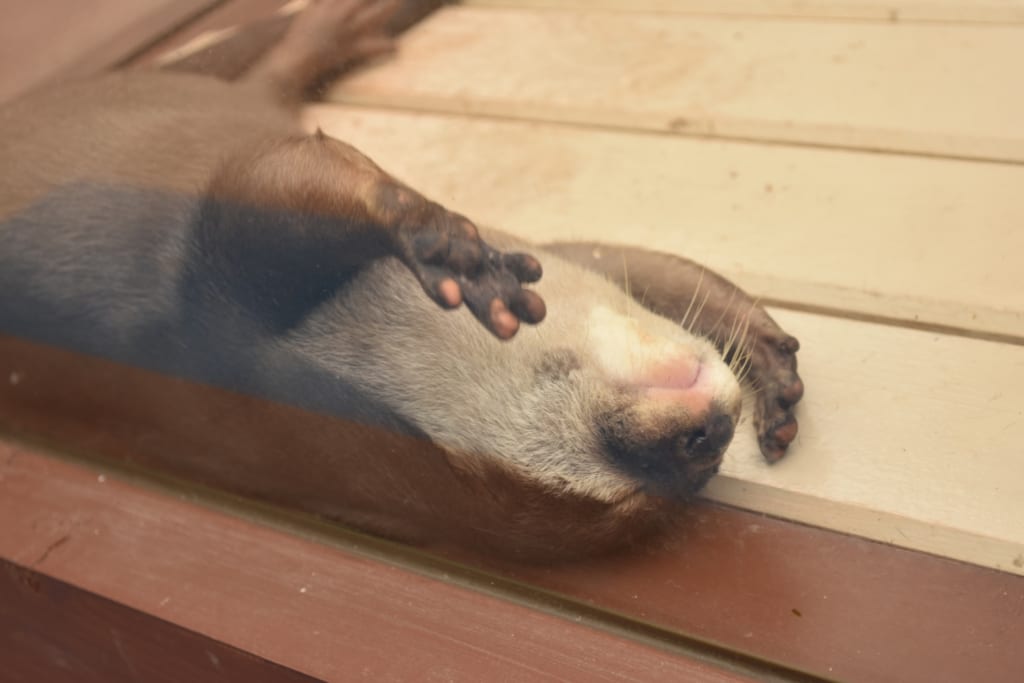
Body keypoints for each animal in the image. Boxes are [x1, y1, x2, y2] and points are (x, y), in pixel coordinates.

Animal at [0, 0, 798, 561]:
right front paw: (437, 241)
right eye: (630, 486)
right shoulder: (201, 312)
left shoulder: (538, 246)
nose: (707, 435)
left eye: (702, 461)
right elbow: (266, 179)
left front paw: (766, 358)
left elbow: (628, 261)